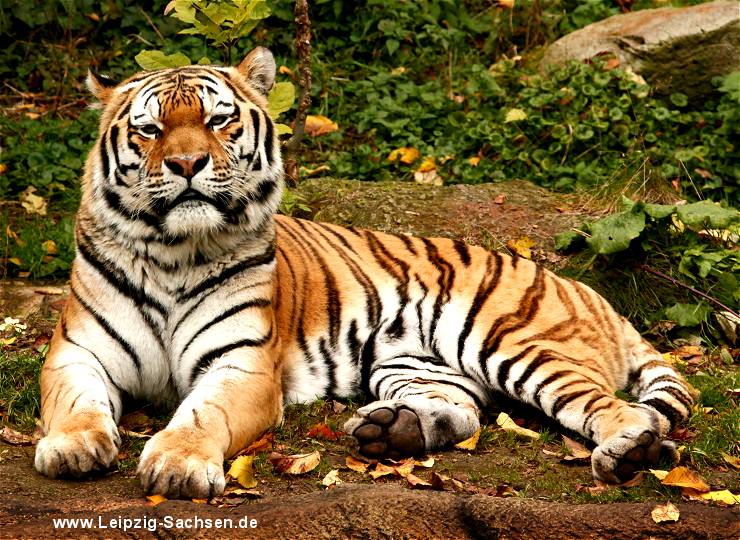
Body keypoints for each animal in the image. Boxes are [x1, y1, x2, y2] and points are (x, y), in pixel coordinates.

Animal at [31, 46, 696, 498]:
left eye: (218, 121)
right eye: (149, 129)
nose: (188, 163)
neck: (175, 250)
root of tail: (587, 289)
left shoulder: (243, 365)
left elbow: (200, 413)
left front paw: (177, 464)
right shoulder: (76, 352)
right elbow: (74, 403)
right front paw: (70, 447)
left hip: (511, 339)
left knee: (615, 408)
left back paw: (629, 451)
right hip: (409, 361)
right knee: (465, 408)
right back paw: (393, 432)